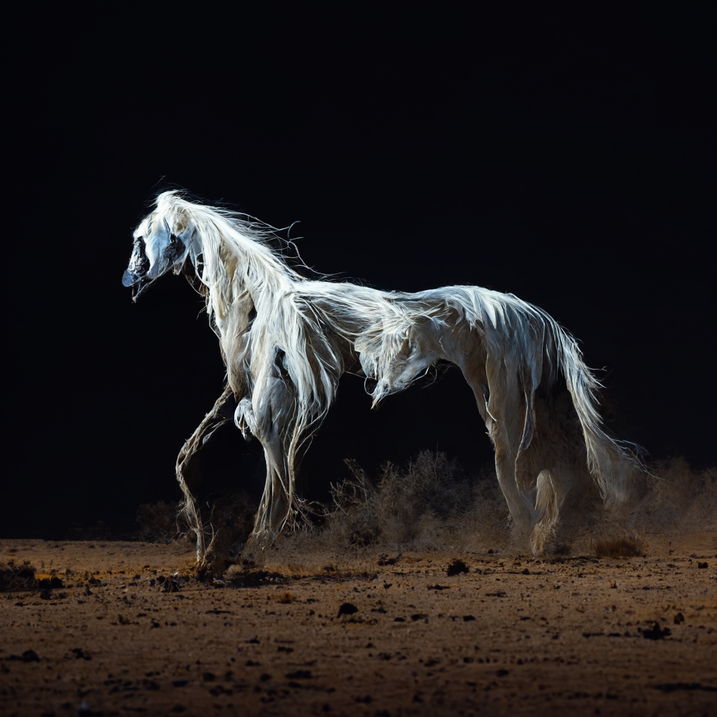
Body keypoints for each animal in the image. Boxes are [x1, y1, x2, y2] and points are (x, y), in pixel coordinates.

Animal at [123, 190, 642, 571]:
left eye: (141, 239)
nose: (129, 279)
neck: (259, 299)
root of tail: (537, 317)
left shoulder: (273, 407)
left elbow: (277, 478)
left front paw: (252, 549)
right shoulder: (243, 394)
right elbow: (187, 457)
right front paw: (203, 550)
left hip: (505, 404)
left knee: (523, 473)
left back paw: (531, 543)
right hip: (532, 402)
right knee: (560, 471)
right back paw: (547, 539)